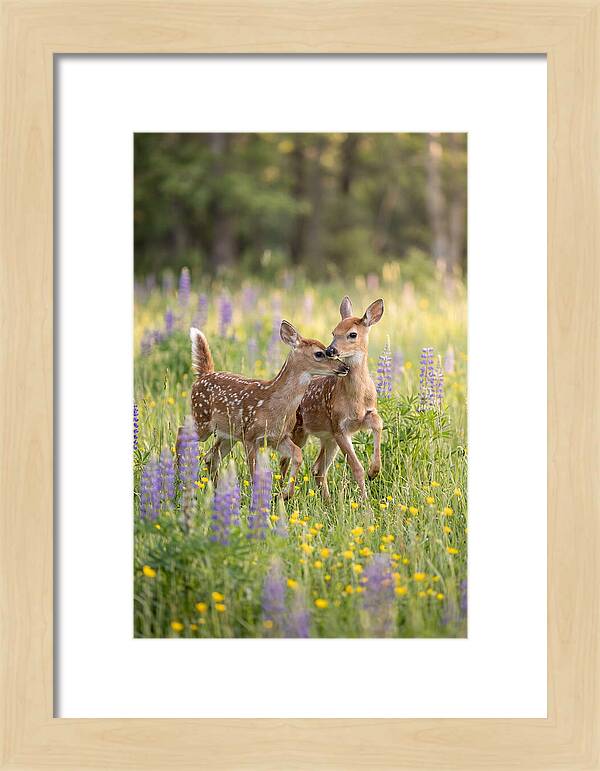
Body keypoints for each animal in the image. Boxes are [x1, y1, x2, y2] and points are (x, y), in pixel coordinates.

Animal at [179, 321, 349, 496]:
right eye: (319, 353)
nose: (344, 367)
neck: (274, 405)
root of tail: (203, 375)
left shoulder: (278, 437)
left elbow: (297, 454)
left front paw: (285, 494)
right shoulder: (250, 436)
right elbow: (254, 473)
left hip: (228, 434)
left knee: (211, 457)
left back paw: (215, 490)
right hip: (202, 419)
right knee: (181, 432)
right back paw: (179, 475)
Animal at [285, 297, 385, 500]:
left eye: (352, 334)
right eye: (333, 332)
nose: (331, 350)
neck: (356, 398)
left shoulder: (365, 415)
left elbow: (379, 423)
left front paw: (374, 471)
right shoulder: (339, 427)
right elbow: (357, 468)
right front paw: (365, 501)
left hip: (327, 438)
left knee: (317, 469)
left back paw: (328, 501)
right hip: (299, 431)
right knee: (286, 461)